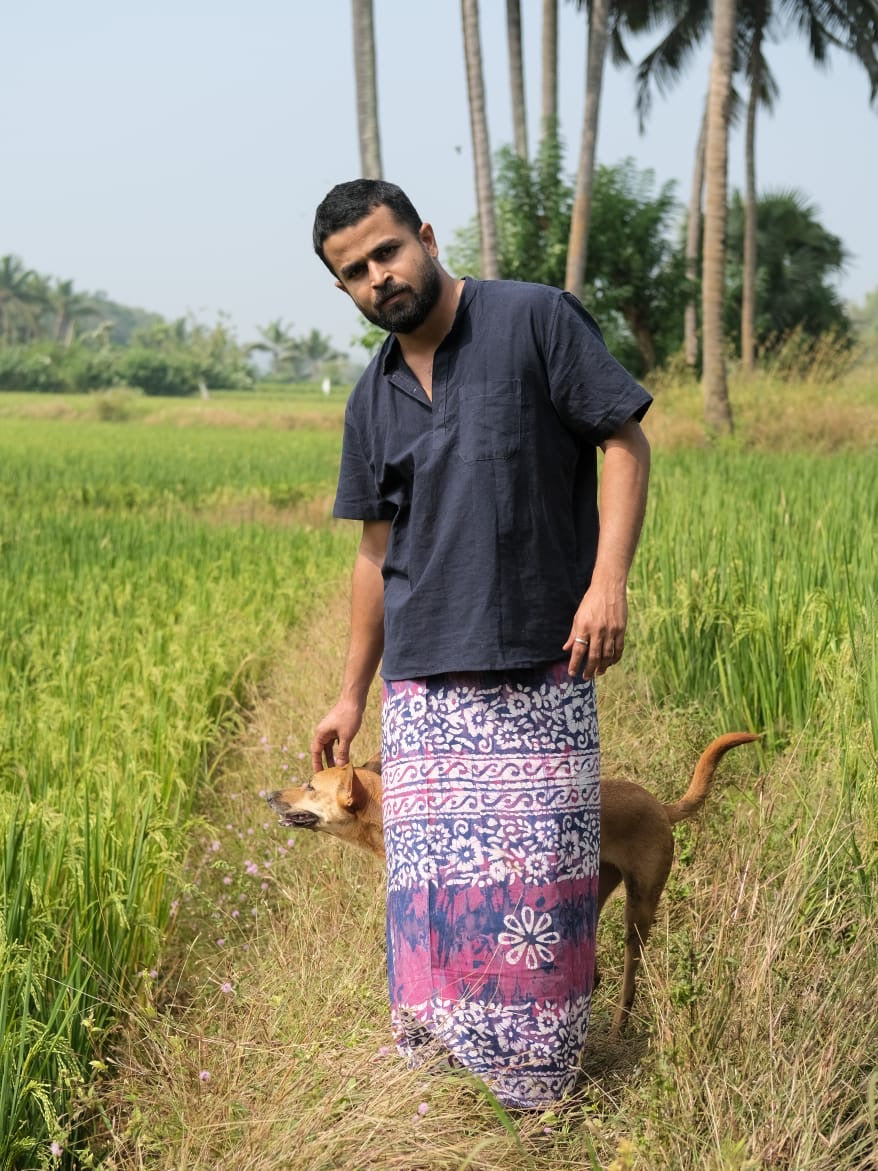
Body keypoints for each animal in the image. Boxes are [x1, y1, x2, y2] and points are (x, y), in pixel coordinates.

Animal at [268, 735, 758, 1030]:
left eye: (310, 785)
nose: (270, 795)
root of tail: (660, 804)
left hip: (639, 908)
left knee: (629, 967)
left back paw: (618, 1021)